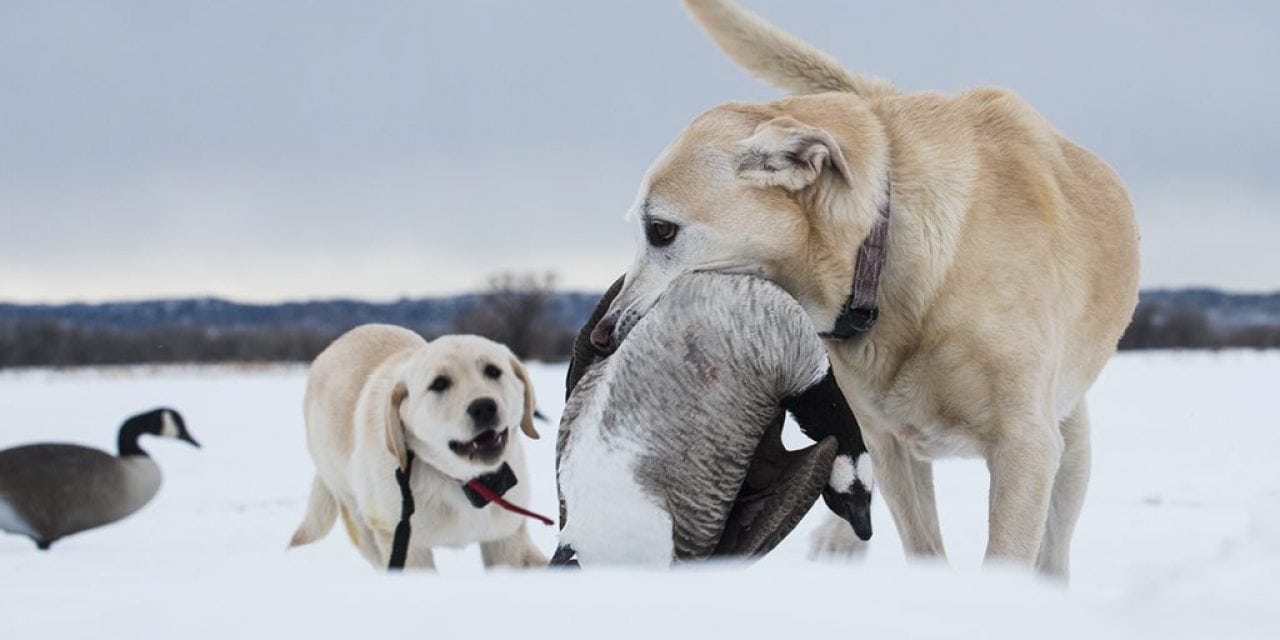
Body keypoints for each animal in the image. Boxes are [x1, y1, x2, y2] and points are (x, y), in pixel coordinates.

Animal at [288, 325, 547, 570]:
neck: (462, 481)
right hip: (356, 512)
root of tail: (337, 343)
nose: (483, 407)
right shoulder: (403, 542)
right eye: (439, 383)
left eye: (493, 371)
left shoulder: (505, 537)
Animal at [588, 1, 1141, 581]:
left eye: (661, 230)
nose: (601, 336)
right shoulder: (889, 443)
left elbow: (1008, 550)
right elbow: (921, 541)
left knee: (1055, 541)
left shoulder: (1025, 446)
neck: (883, 255)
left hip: (1071, 447)